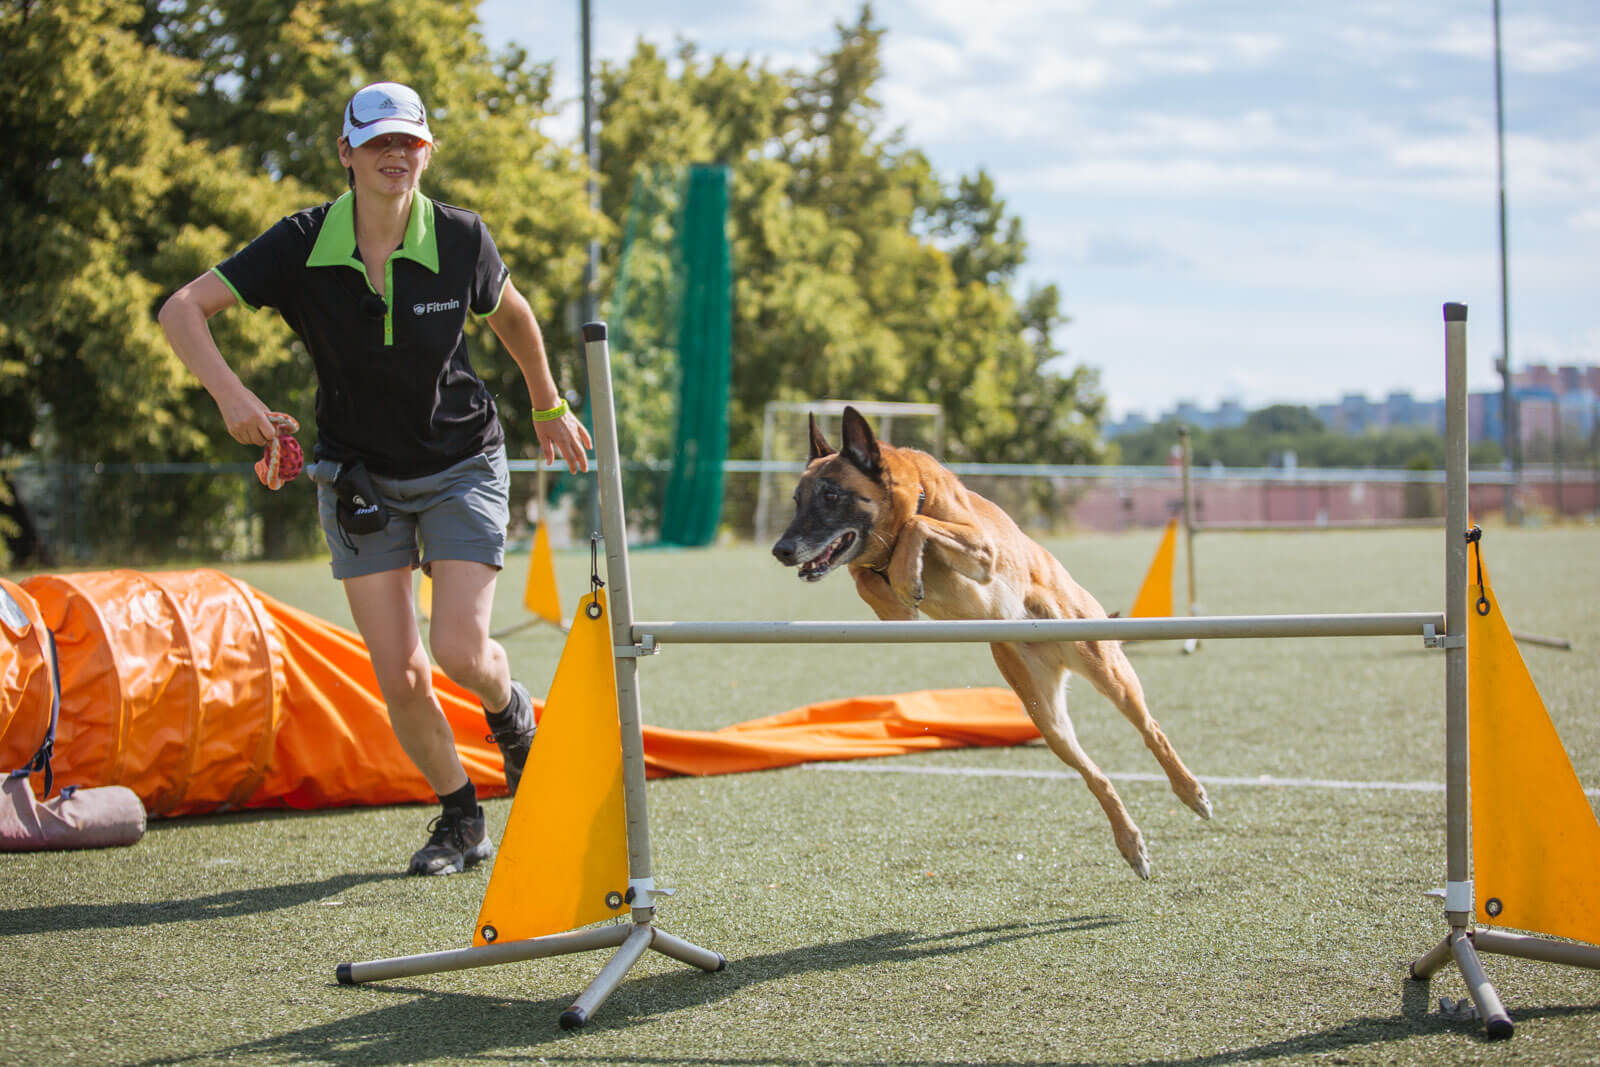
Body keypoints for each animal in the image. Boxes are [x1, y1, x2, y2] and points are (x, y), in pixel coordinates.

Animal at [774, 404, 1209, 883]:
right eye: (797, 500)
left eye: (831, 496)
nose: (781, 550)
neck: (913, 497)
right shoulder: (894, 615)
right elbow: (864, 577)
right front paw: (899, 582)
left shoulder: (981, 550)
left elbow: (919, 526)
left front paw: (907, 573)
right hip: (1048, 720)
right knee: (1097, 777)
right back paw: (1130, 842)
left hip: (1109, 671)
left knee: (1152, 731)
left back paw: (1191, 792)